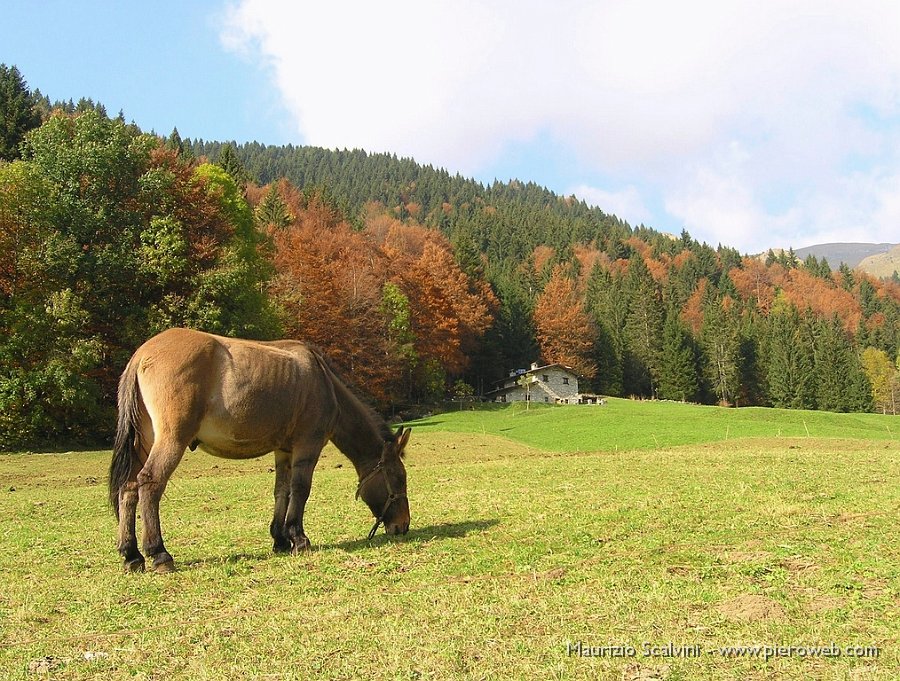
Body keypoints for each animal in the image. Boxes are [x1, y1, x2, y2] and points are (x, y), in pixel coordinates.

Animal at [108, 326, 412, 572]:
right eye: (399, 479)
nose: (403, 526)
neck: (323, 382)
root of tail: (142, 354)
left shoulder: (284, 452)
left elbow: (282, 491)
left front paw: (280, 539)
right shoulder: (307, 447)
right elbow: (300, 490)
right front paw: (298, 538)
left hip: (144, 444)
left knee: (129, 488)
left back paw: (131, 555)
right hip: (171, 441)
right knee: (150, 484)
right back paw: (159, 554)